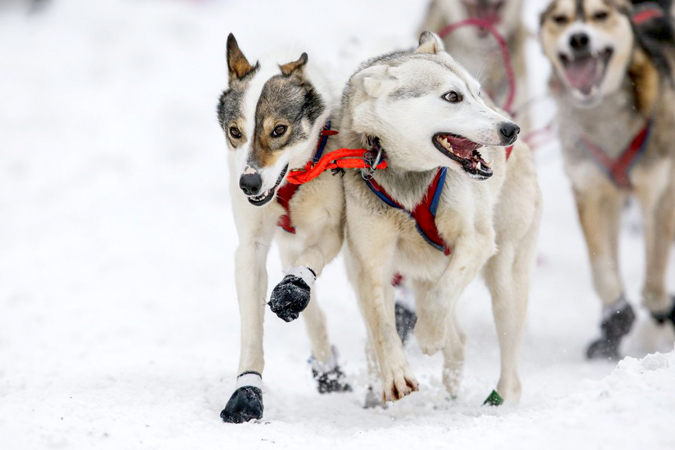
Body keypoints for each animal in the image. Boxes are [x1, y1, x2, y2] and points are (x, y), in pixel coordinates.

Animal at [340, 32, 540, 404]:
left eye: (477, 92)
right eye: (452, 96)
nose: (511, 129)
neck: (409, 180)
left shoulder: (475, 241)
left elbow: (440, 298)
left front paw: (430, 336)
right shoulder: (369, 263)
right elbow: (382, 326)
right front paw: (395, 375)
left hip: (505, 278)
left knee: (506, 353)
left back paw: (500, 400)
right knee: (451, 340)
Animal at [540, 0, 675, 358]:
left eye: (600, 15)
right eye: (561, 19)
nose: (578, 39)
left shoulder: (660, 193)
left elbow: (654, 279)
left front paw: (662, 313)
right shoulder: (591, 191)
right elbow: (603, 270)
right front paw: (617, 317)